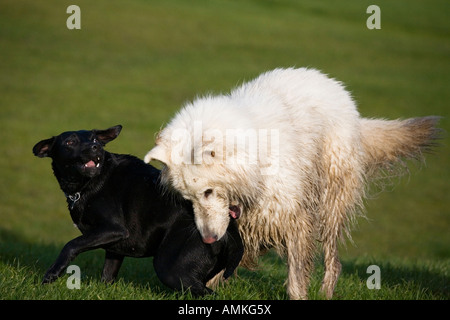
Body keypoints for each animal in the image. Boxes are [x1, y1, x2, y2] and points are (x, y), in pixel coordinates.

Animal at [32, 125, 243, 296]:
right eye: (70, 142)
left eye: (95, 140)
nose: (96, 148)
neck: (87, 184)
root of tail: (229, 230)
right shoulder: (114, 247)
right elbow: (107, 276)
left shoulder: (113, 229)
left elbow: (71, 245)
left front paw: (51, 275)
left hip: (171, 268)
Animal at [144, 68, 440, 300]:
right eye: (188, 200)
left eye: (208, 192)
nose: (207, 238)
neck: (255, 159)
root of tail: (335, 87)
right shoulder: (243, 226)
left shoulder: (293, 218)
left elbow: (296, 276)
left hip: (331, 201)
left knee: (333, 260)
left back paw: (326, 292)